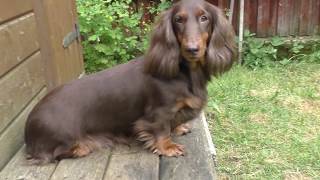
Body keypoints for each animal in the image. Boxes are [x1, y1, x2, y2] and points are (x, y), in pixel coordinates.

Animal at [24, 0, 235, 164]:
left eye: (204, 18)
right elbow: (161, 130)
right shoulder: (158, 113)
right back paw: (82, 146)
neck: (186, 72)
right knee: (55, 153)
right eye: (178, 19)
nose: (192, 49)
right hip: (65, 136)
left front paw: (179, 127)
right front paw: (168, 147)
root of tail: (28, 126)